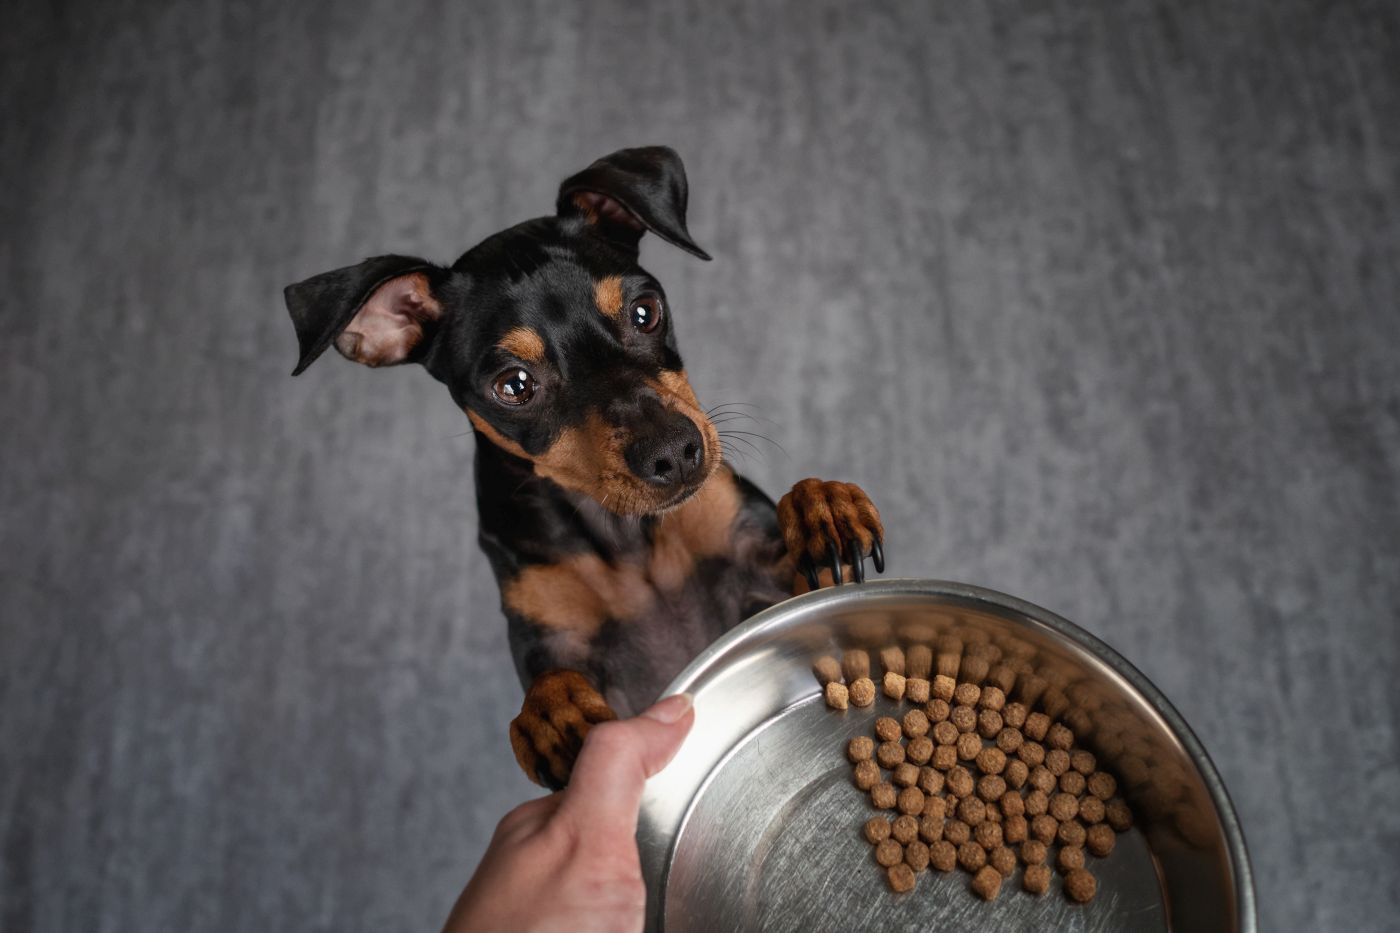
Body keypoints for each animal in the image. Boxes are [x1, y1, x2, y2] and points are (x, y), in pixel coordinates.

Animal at [281, 145, 884, 784]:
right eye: (514, 385)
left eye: (645, 312)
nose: (675, 453)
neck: (625, 538)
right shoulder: (554, 638)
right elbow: (548, 684)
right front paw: (552, 713)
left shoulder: (772, 579)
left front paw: (824, 505)